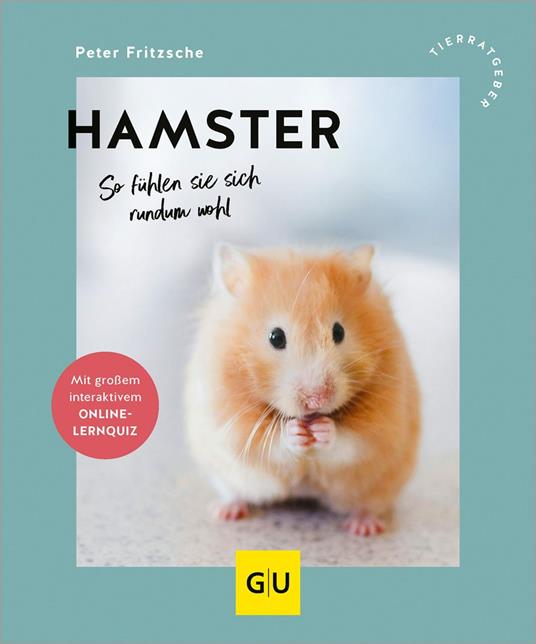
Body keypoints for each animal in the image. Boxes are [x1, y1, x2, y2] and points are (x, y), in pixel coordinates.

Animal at [184, 244, 420, 535]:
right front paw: (296, 432)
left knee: (368, 505)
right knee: (234, 493)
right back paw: (225, 511)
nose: (317, 399)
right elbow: (269, 443)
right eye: (276, 337)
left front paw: (323, 429)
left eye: (339, 331)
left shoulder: (382, 426)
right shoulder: (231, 423)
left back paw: (364, 527)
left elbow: (350, 441)